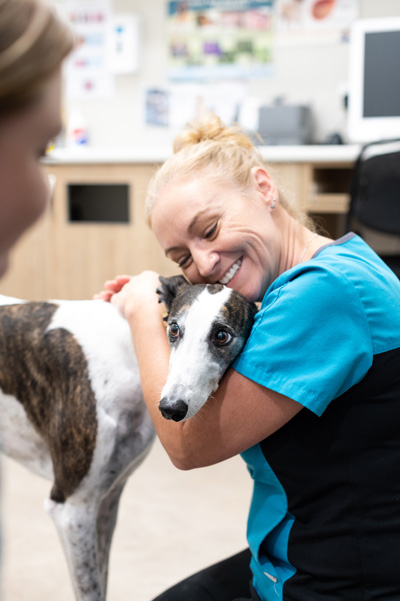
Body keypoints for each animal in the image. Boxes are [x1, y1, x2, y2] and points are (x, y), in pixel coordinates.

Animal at [0, 276, 256, 600]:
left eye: (222, 335)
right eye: (174, 328)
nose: (170, 408)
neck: (129, 354)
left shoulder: (106, 499)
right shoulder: (71, 508)